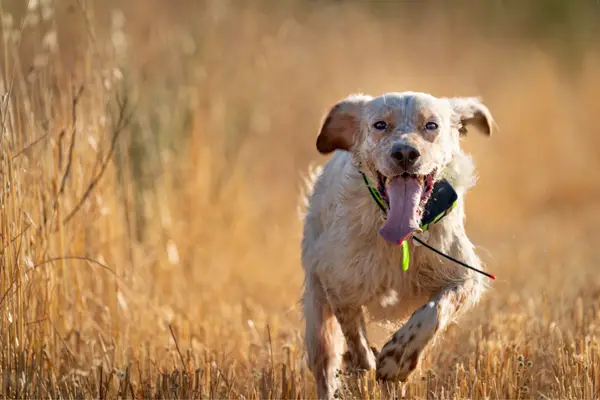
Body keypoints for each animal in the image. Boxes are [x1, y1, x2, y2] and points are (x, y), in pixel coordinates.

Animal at [300, 92, 492, 398]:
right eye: (380, 125)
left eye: (431, 125)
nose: (405, 153)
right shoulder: (337, 282)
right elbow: (355, 337)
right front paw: (365, 364)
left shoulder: (464, 276)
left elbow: (433, 312)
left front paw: (396, 360)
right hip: (317, 315)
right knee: (325, 366)